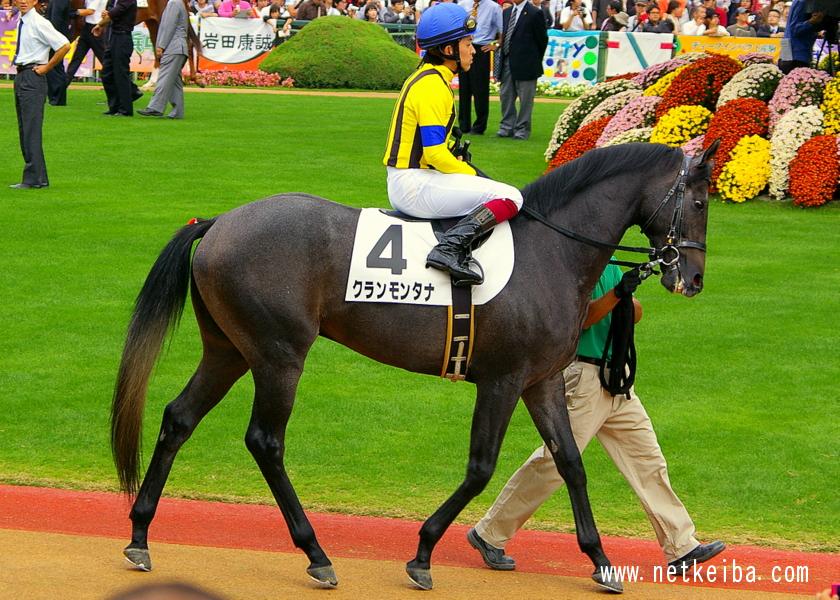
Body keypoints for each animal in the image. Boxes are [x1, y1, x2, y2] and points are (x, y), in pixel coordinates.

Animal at [111, 141, 719, 594]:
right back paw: (316, 552)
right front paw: (423, 553)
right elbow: (481, 467)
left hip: (229, 350)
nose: (691, 279)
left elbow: (569, 462)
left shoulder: (541, 381)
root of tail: (217, 222)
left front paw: (600, 559)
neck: (550, 250)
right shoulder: (502, 380)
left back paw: (140, 536)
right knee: (265, 440)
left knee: (178, 418)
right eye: (700, 202)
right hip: (279, 354)